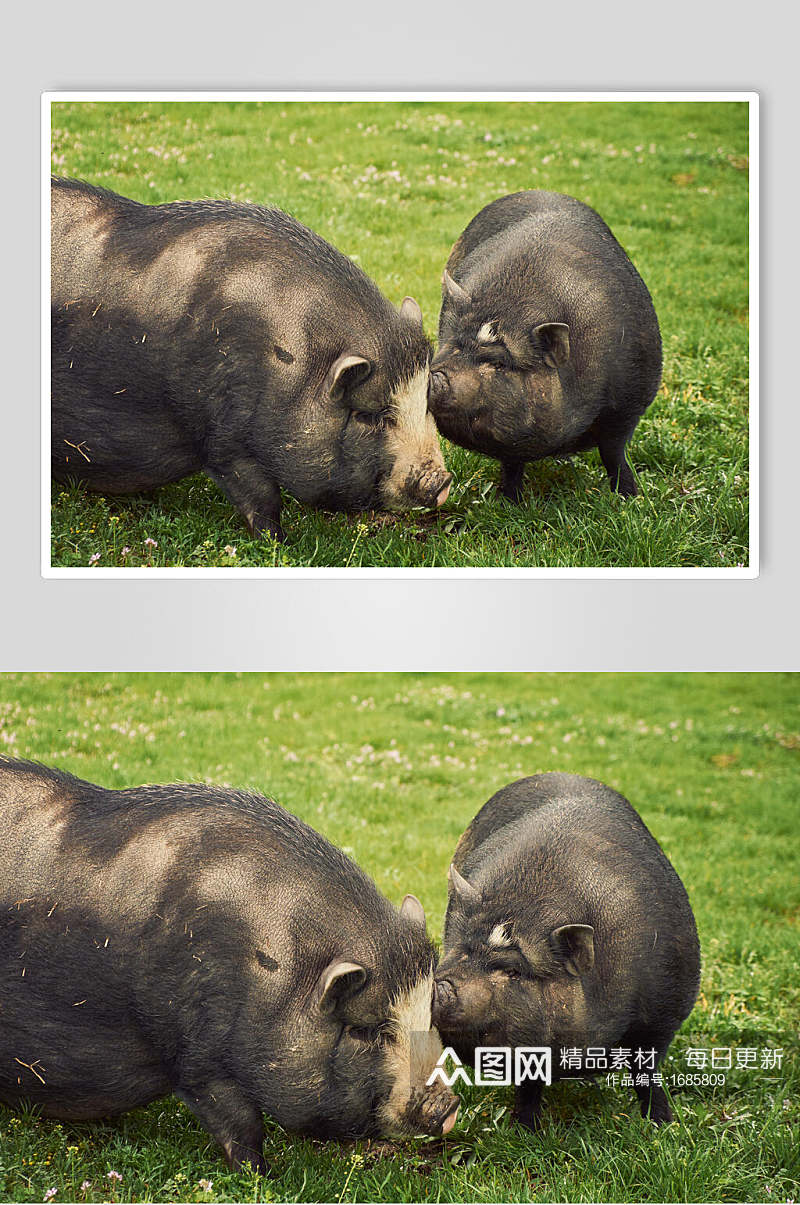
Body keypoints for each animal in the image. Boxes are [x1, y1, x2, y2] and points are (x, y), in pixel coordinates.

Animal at [0, 756, 460, 1171]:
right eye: (366, 1031)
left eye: (428, 1013)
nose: (449, 1105)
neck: (273, 973)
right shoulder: (198, 1056)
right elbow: (240, 1126)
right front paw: (263, 1177)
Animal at [50, 177, 450, 537]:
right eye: (370, 416)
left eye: (425, 402)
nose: (442, 481)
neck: (289, 363)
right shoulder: (224, 438)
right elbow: (262, 499)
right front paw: (279, 544)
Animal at [431, 191, 660, 498]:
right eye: (452, 347)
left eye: (499, 363)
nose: (434, 376)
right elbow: (511, 463)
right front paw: (510, 500)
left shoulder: (630, 401)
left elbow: (614, 454)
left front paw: (628, 498)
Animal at [431, 776, 698, 1132]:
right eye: (460, 952)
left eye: (514, 971)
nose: (441, 986)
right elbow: (528, 1084)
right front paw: (525, 1131)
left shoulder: (665, 1012)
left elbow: (647, 1074)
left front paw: (661, 1125)